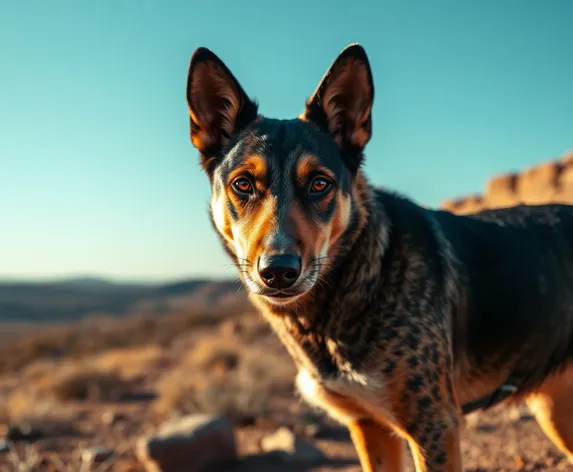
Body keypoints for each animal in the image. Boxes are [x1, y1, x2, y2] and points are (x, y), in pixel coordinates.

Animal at [184, 42, 572, 470]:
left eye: (320, 183)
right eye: (243, 184)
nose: (279, 272)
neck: (363, 275)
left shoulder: (435, 426)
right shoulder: (369, 427)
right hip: (555, 410)